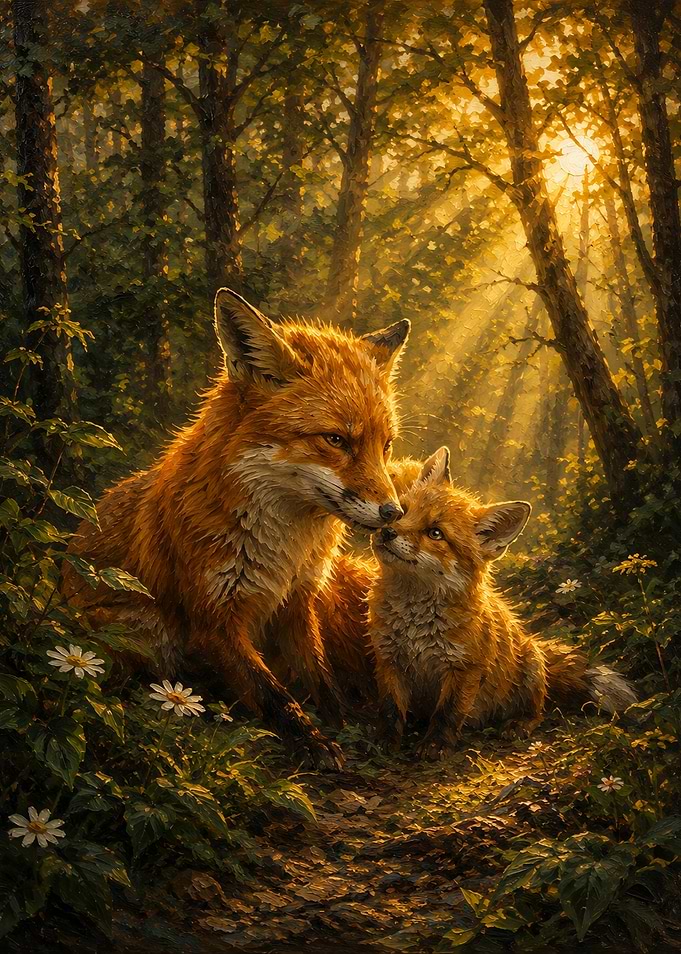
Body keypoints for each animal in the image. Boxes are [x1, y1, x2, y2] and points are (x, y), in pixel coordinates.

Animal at [64, 288, 411, 769]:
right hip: (143, 627)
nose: (394, 513)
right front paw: (317, 744)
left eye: (386, 446)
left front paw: (344, 725)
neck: (285, 550)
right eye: (336, 440)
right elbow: (273, 695)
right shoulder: (213, 617)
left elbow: (321, 678)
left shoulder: (299, 603)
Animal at [368, 447, 637, 760]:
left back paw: (518, 724)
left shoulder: (465, 669)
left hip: (532, 667)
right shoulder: (388, 660)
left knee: (537, 712)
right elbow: (390, 709)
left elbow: (447, 713)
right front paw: (386, 741)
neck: (415, 624)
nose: (387, 532)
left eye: (435, 533)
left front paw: (435, 745)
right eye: (403, 511)